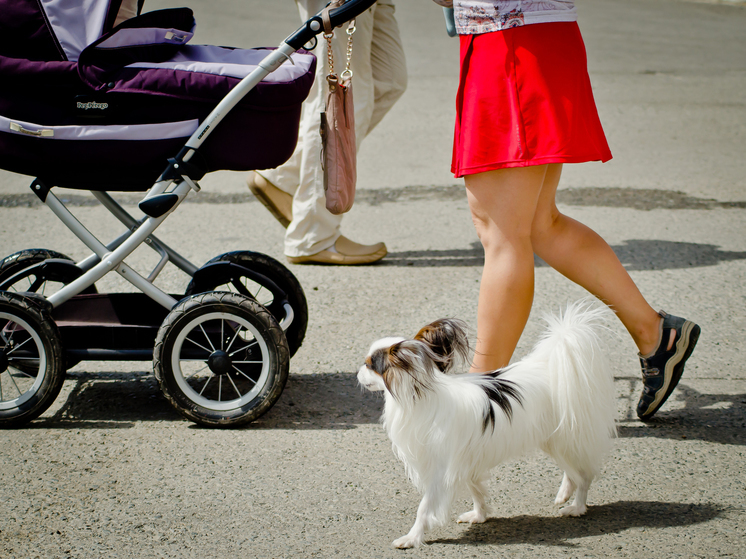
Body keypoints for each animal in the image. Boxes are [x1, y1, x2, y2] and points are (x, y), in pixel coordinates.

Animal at [356, 300, 616, 548]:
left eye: (370, 365)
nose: (357, 372)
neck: (419, 396)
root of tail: (549, 365)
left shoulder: (440, 470)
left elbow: (424, 508)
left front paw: (412, 538)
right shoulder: (466, 460)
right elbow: (476, 490)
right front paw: (480, 516)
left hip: (563, 439)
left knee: (584, 475)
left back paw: (577, 507)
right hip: (553, 441)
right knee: (574, 470)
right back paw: (564, 494)